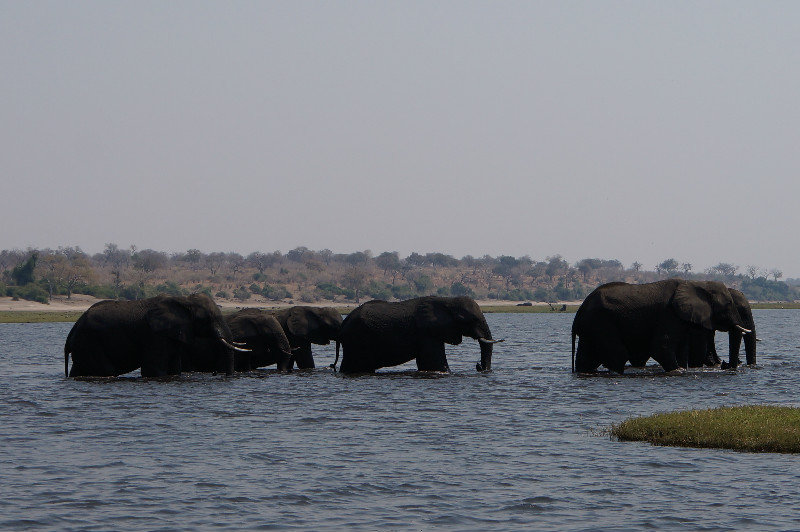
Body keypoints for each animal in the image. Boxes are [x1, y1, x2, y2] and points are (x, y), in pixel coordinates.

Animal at [64, 294, 248, 376]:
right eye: (207, 319)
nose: (218, 374)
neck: (183, 300)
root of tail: (74, 327)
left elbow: (174, 367)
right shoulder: (154, 335)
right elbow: (153, 369)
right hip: (90, 342)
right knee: (106, 370)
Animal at [334, 296, 504, 374]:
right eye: (469, 320)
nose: (479, 366)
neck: (446, 300)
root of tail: (343, 324)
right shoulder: (427, 333)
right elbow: (435, 363)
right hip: (357, 340)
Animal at [572, 278, 752, 374]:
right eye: (728, 304)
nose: (726, 365)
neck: (696, 283)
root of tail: (579, 310)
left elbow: (681, 349)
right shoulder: (668, 314)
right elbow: (661, 348)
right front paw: (677, 371)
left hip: (591, 328)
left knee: (586, 358)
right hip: (601, 323)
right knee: (618, 354)